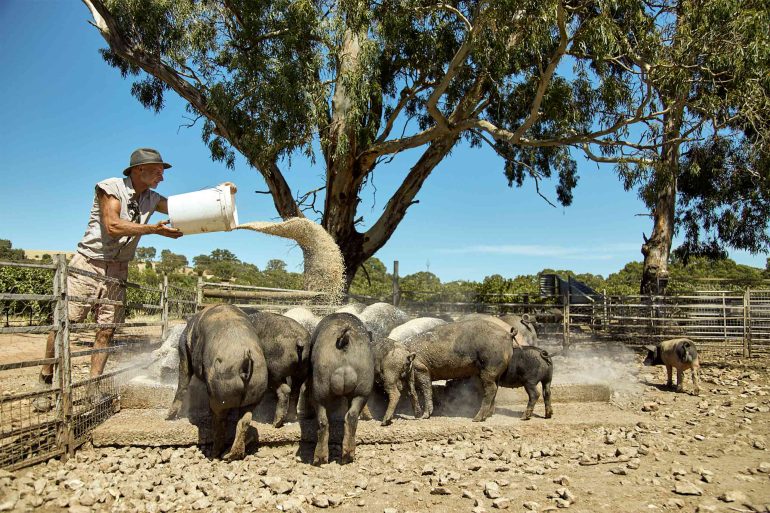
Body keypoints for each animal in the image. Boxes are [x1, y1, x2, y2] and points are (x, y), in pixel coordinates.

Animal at [166, 304, 268, 460]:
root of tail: (245, 359)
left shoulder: (184, 349)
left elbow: (184, 376)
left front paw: (168, 417)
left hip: (222, 388)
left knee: (220, 421)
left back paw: (214, 454)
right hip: (257, 385)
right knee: (245, 420)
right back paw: (232, 455)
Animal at [304, 313, 375, 465]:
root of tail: (344, 341)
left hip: (321, 383)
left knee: (323, 420)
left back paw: (319, 460)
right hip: (363, 385)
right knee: (351, 416)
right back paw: (347, 457)